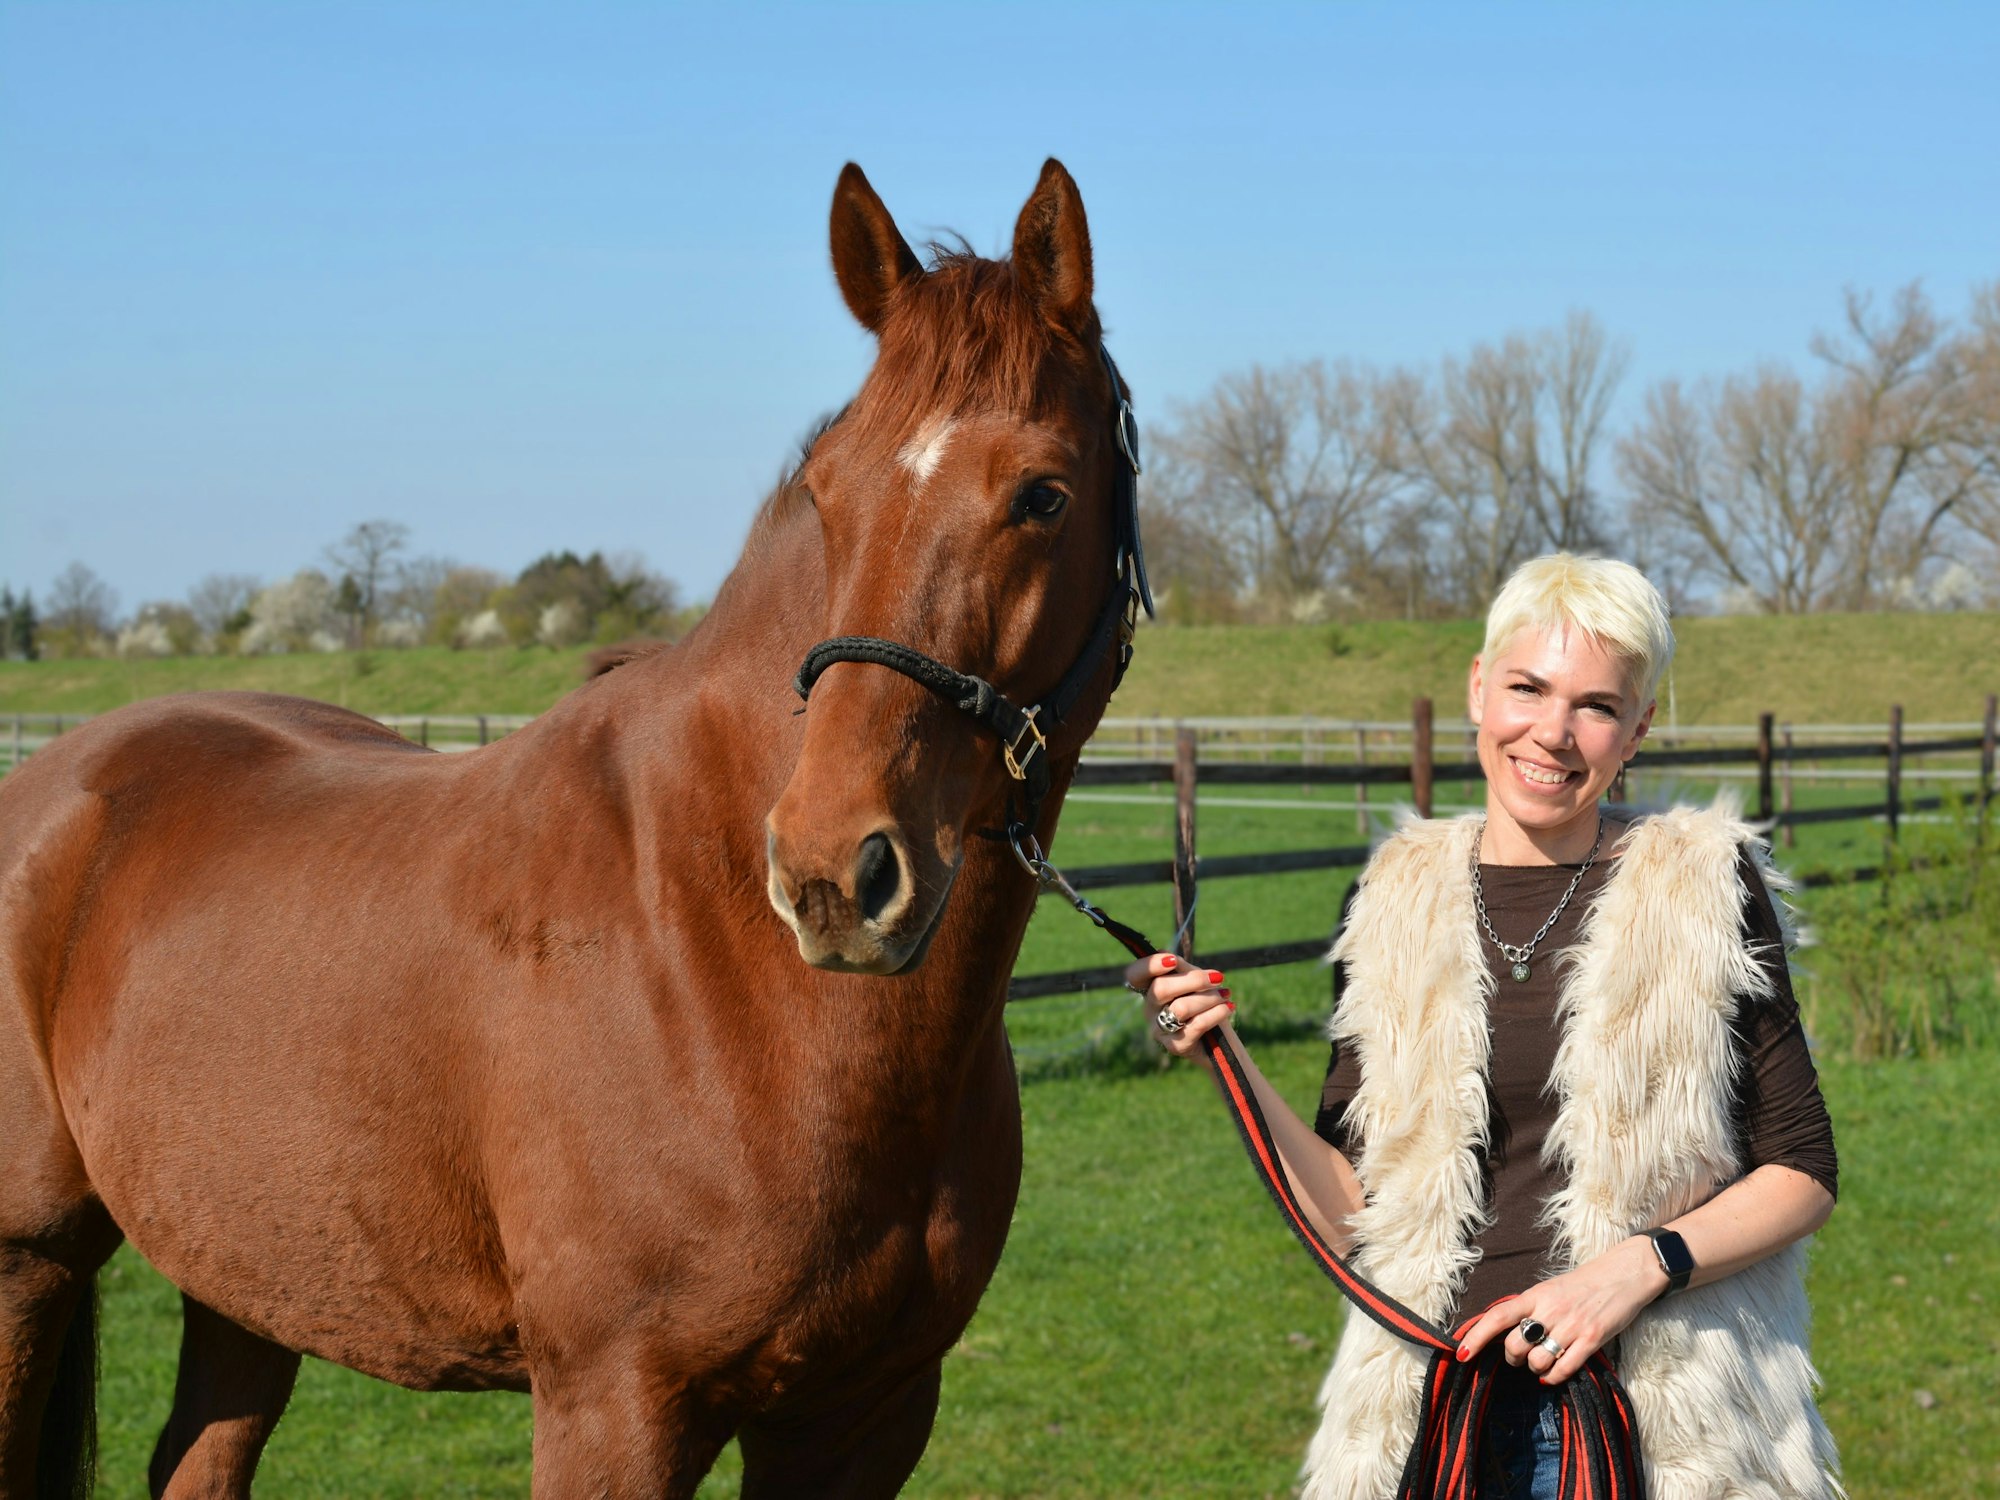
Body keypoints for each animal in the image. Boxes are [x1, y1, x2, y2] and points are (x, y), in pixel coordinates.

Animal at [0, 158, 1147, 1498]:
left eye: (1042, 494)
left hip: (244, 1270)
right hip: (28, 1264)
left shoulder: (863, 1416)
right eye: (826, 491)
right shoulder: (614, 1406)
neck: (723, 965)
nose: (832, 873)